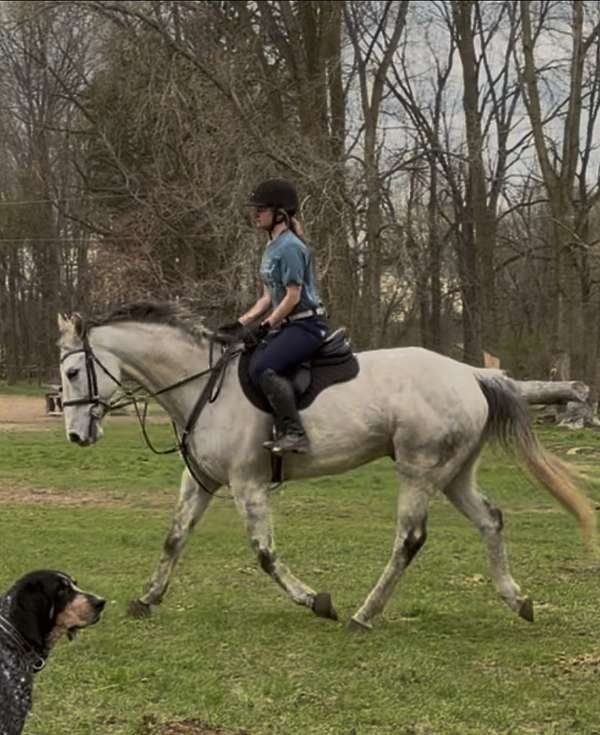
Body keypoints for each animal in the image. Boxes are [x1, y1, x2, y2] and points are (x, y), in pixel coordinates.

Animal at [57, 302, 597, 631]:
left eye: (73, 371)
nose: (77, 436)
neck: (204, 386)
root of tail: (470, 373)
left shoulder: (247, 483)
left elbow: (264, 554)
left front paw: (315, 600)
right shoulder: (202, 480)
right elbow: (174, 539)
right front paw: (147, 599)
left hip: (419, 469)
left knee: (409, 539)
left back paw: (364, 614)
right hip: (453, 474)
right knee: (491, 520)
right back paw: (516, 599)